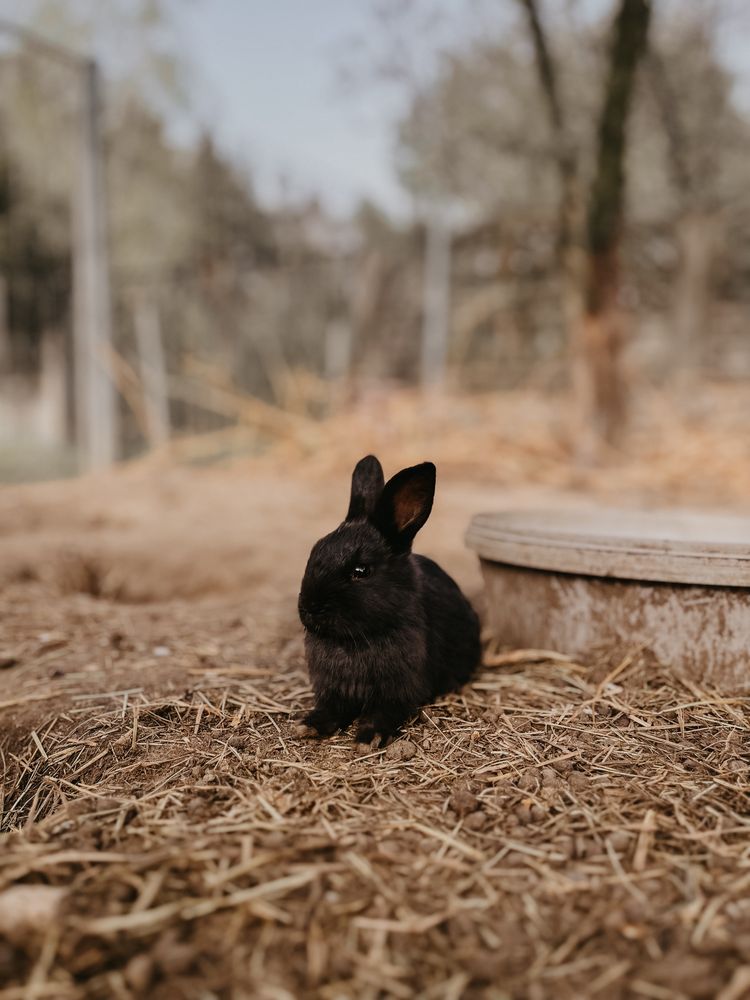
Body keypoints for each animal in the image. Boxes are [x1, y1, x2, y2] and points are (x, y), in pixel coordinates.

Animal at [298, 458, 482, 748]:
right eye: (314, 552)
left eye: (361, 571)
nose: (309, 608)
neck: (356, 639)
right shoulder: (334, 691)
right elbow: (331, 708)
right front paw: (309, 726)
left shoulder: (397, 692)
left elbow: (383, 712)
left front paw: (368, 738)